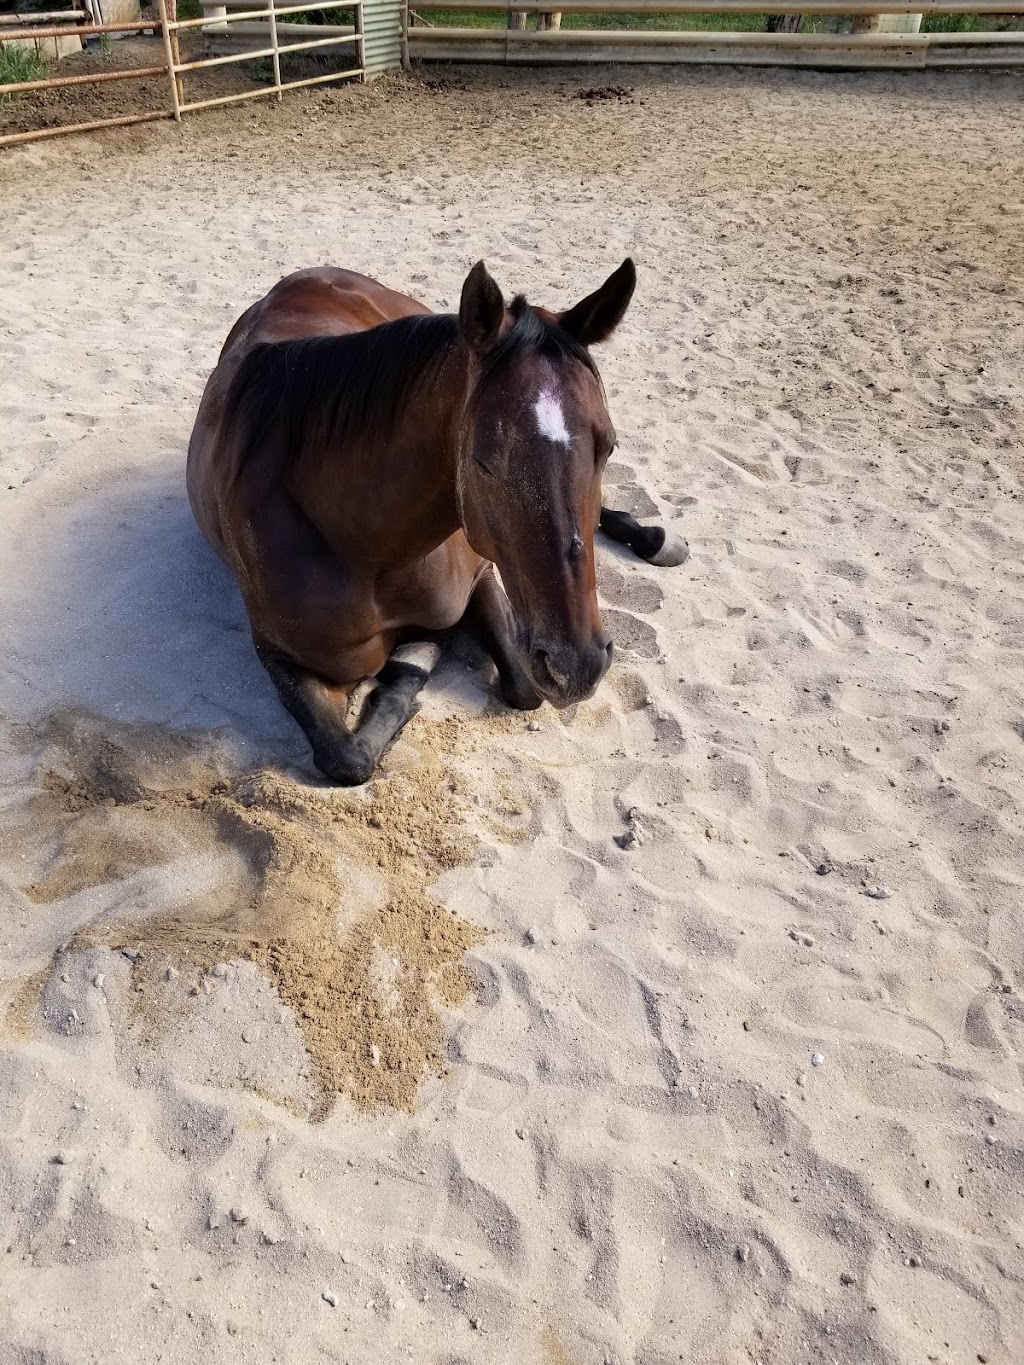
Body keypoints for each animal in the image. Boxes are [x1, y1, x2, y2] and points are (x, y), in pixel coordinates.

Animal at [188, 259, 690, 786]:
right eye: (485, 461)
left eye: (608, 446)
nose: (577, 665)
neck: (369, 551)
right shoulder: (280, 656)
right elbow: (346, 758)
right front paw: (414, 660)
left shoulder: (482, 575)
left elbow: (520, 685)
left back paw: (655, 538)